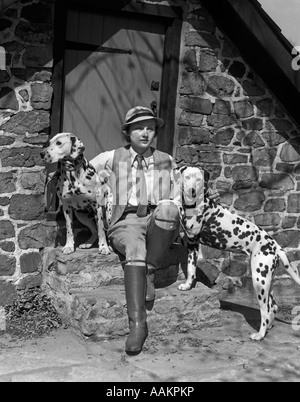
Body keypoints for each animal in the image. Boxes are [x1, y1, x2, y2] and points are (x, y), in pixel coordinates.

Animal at [178, 165, 300, 340]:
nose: (192, 190)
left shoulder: (193, 240)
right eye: (187, 177)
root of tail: (275, 245)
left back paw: (260, 335)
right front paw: (188, 286)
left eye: (199, 179)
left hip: (259, 281)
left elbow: (191, 268)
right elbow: (190, 269)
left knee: (265, 311)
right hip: (266, 281)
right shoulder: (191, 245)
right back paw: (268, 328)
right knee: (273, 306)